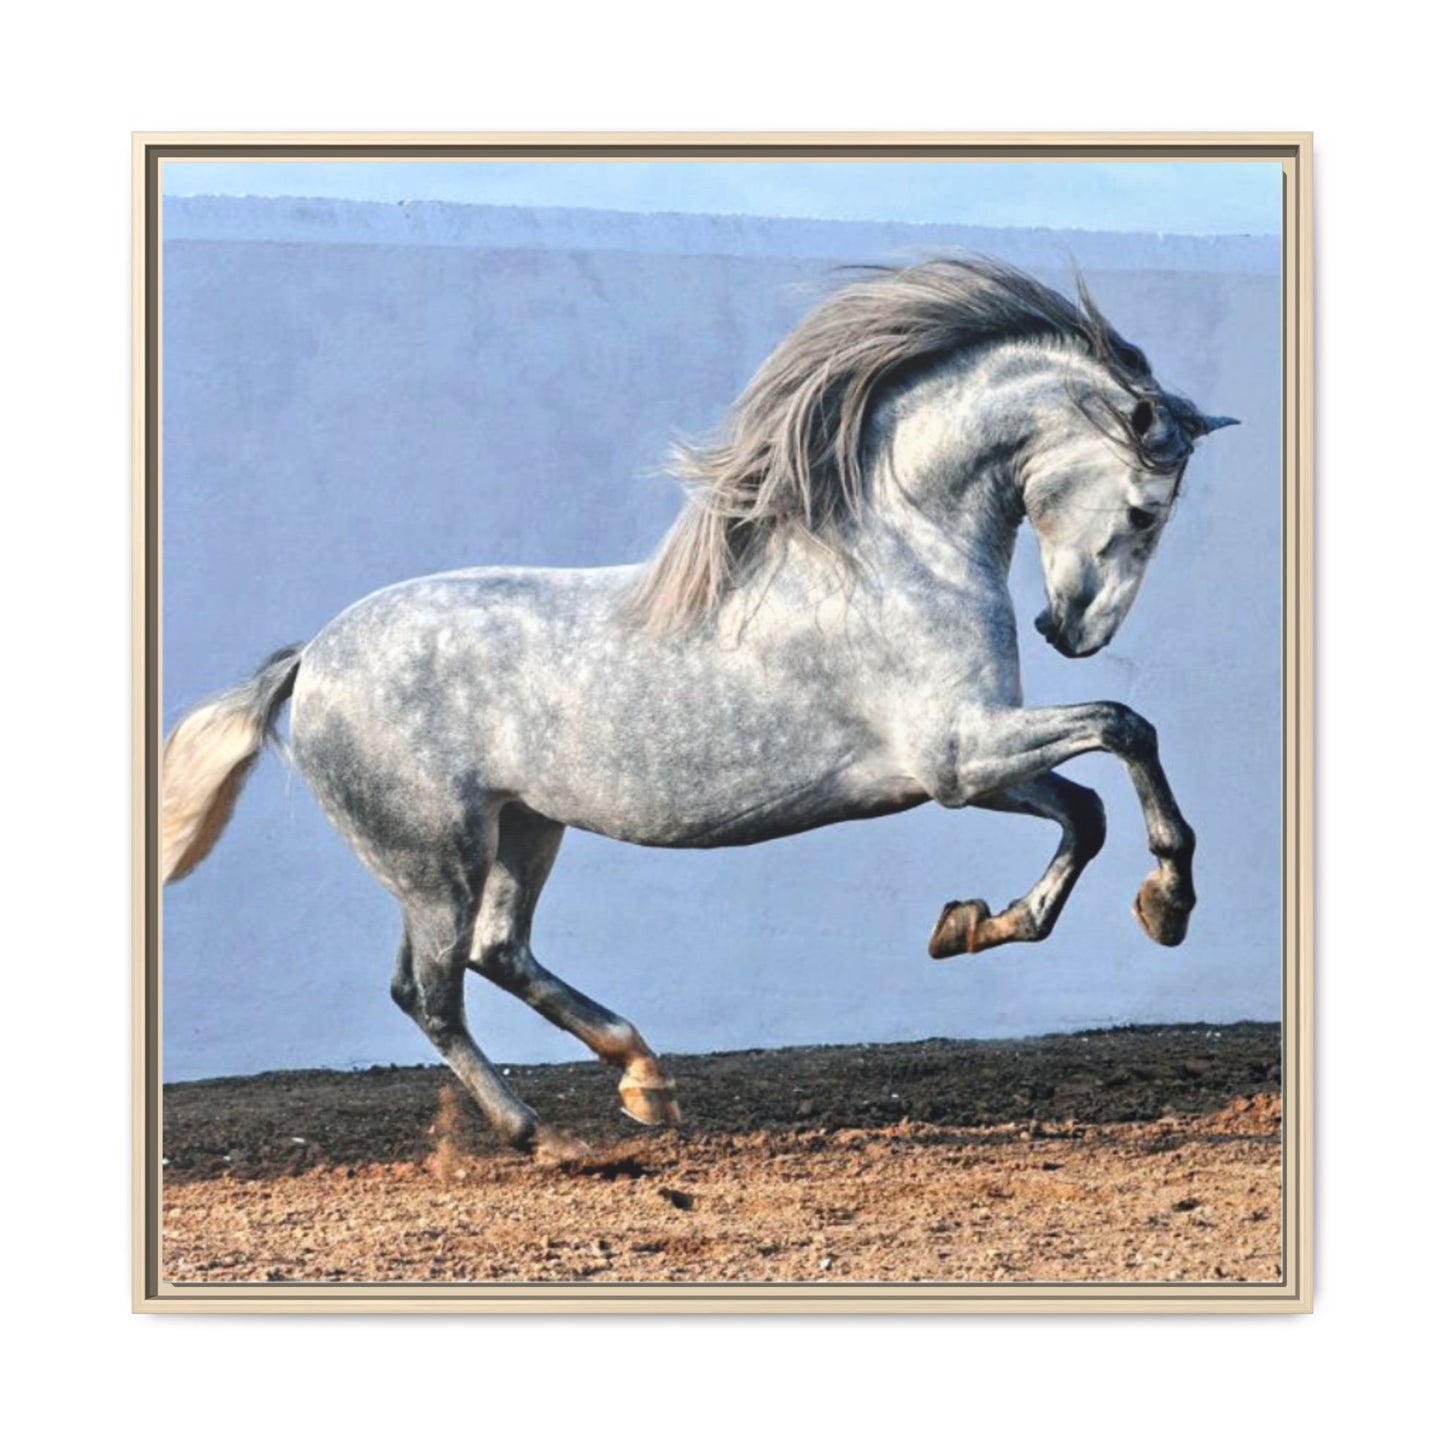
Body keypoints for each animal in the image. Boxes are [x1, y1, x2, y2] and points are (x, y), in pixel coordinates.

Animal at [160, 257, 1237, 1160]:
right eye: (1143, 510)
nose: (1070, 631)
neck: (894, 552)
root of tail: (310, 661)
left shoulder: (955, 768)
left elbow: (1085, 808)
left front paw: (975, 923)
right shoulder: (956, 754)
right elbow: (1124, 727)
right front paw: (1168, 903)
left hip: (522, 827)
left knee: (498, 951)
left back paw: (643, 1079)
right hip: (432, 857)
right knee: (429, 989)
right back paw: (539, 1132)